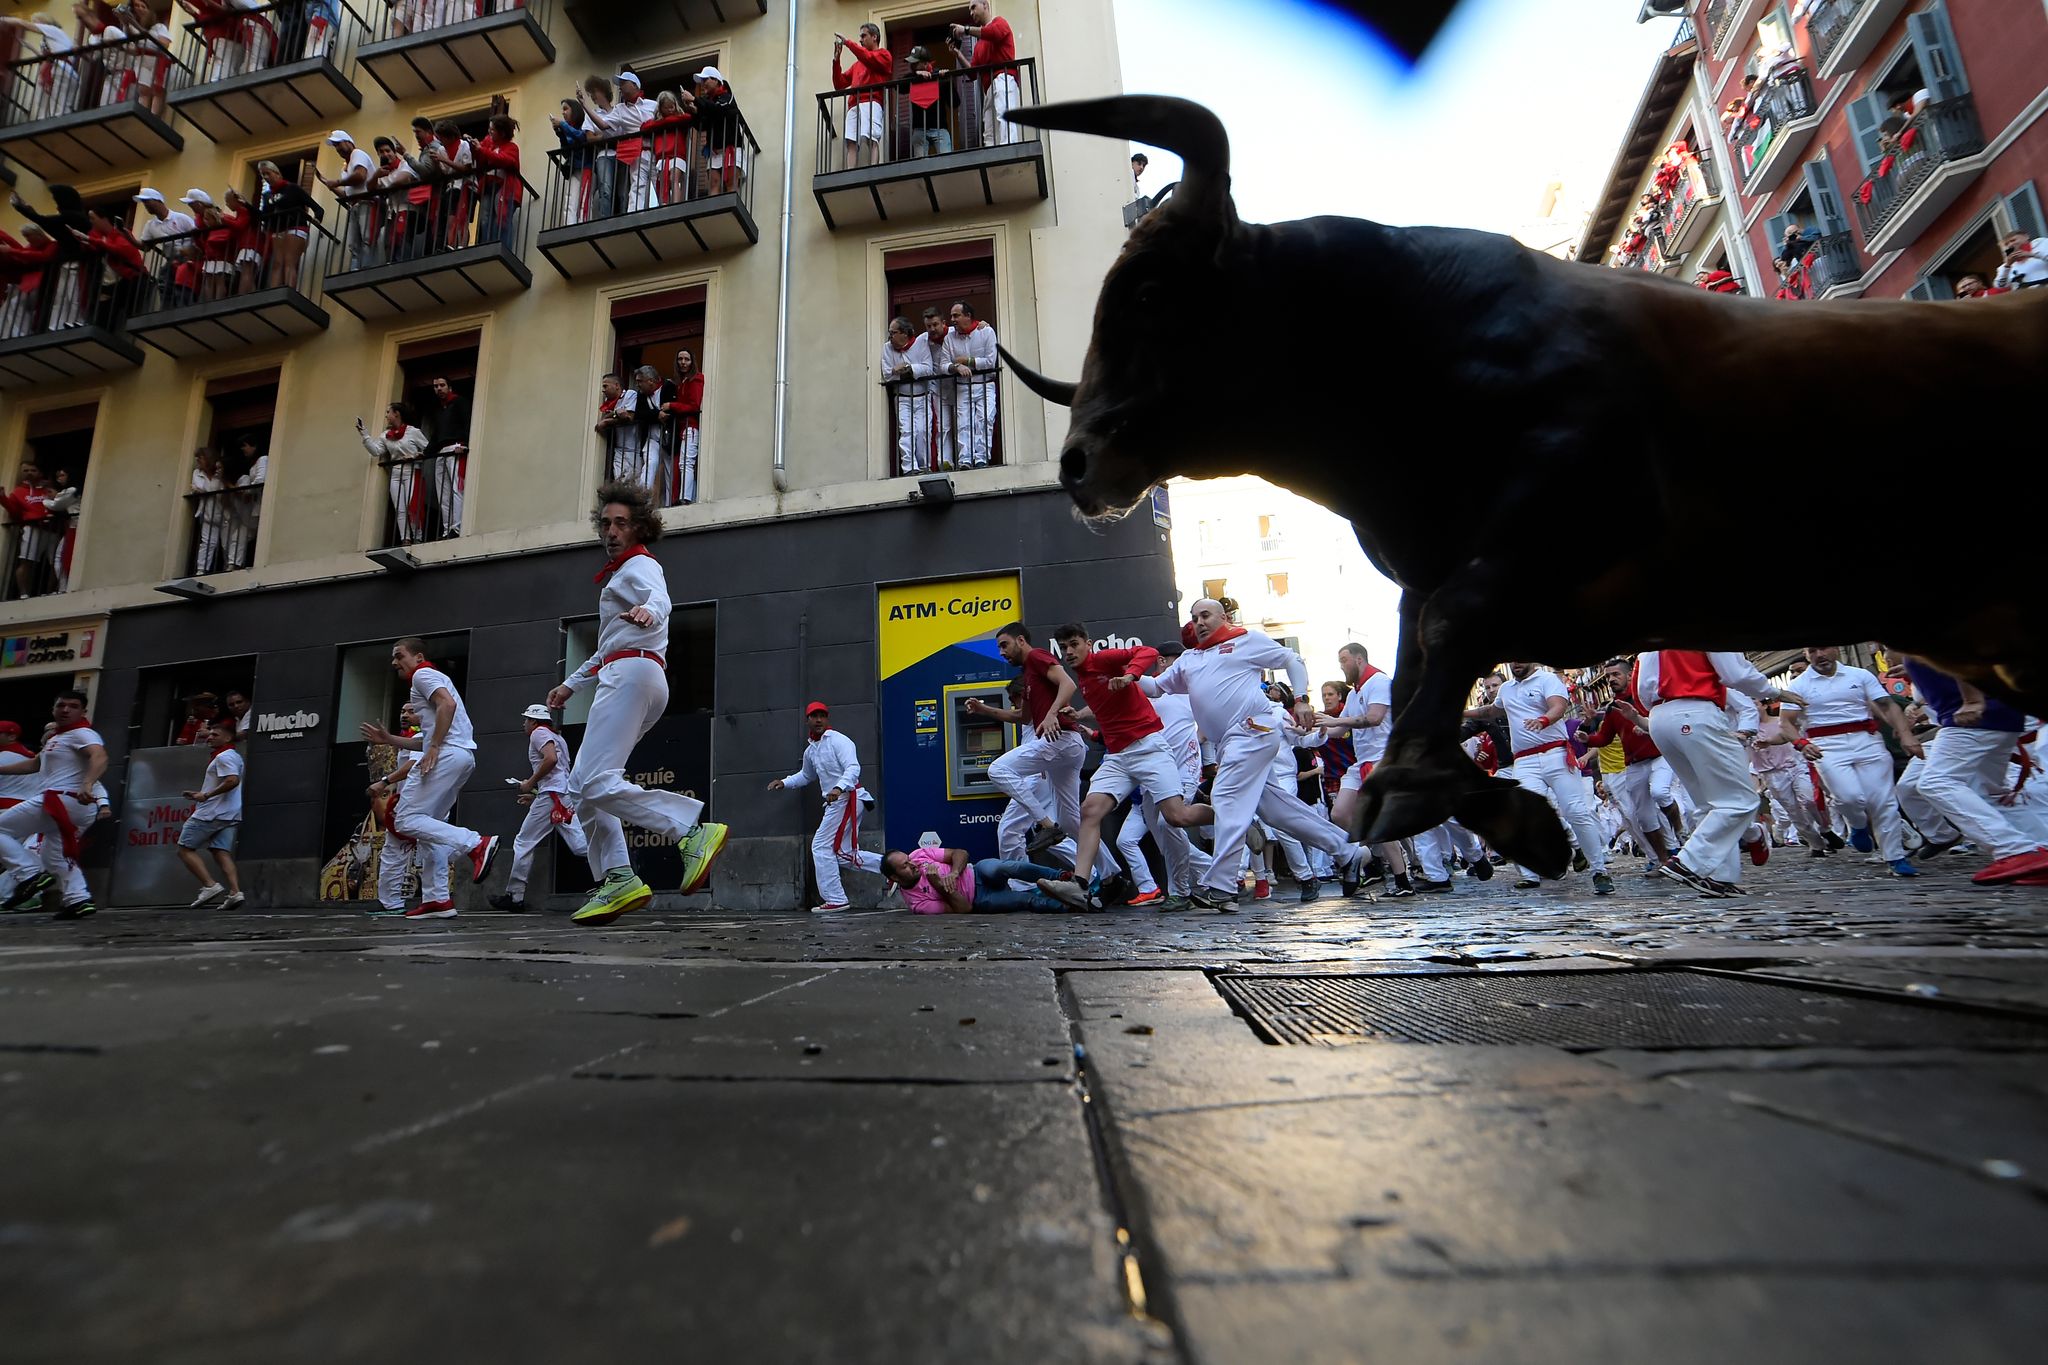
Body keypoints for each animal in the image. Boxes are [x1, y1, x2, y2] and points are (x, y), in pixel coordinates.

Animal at [995, 98, 2048, 888]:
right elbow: (1420, 664)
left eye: (1148, 291)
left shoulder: (1580, 499)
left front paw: (1434, 790)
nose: (1078, 461)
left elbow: (1449, 635)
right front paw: (1484, 802)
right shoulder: (1434, 567)